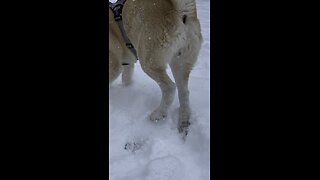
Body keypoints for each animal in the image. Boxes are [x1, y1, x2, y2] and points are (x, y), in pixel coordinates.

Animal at [109, 0, 201, 135]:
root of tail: (180, 11)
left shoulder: (115, 65)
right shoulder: (127, 64)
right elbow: (126, 78)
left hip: (149, 60)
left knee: (170, 87)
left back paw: (159, 113)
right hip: (180, 62)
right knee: (184, 92)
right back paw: (183, 120)